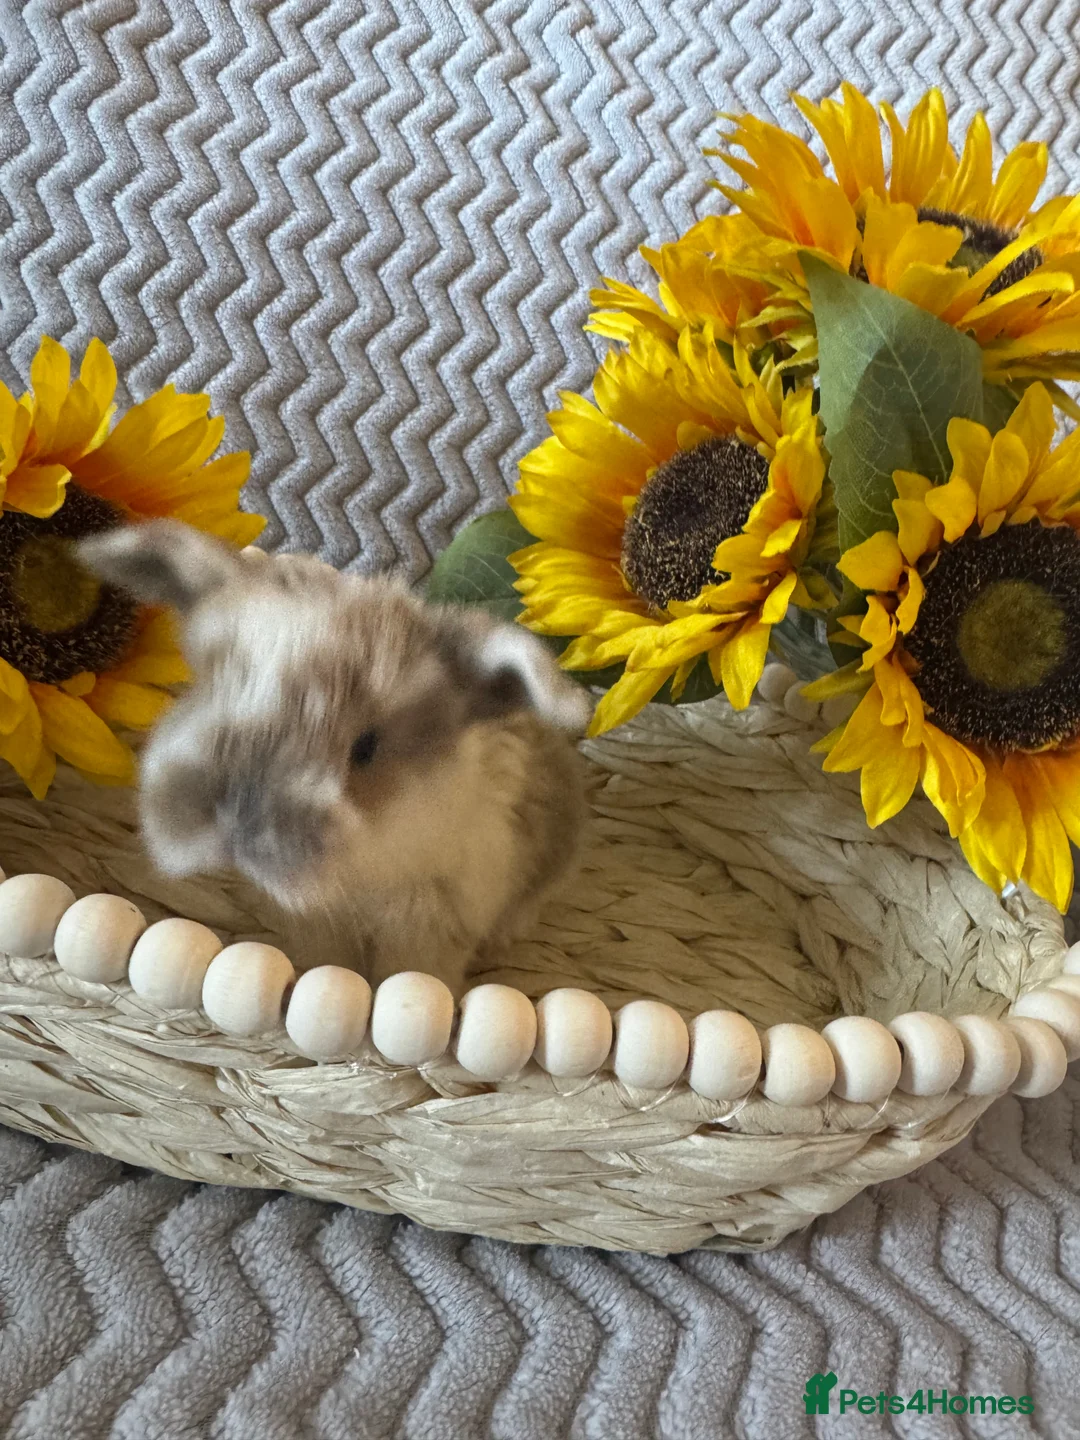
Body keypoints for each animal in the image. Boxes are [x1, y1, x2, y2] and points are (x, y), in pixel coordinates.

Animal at [80, 520, 592, 995]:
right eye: (212, 686)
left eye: (365, 748)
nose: (234, 822)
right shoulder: (320, 925)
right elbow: (331, 965)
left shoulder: (431, 922)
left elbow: (413, 978)